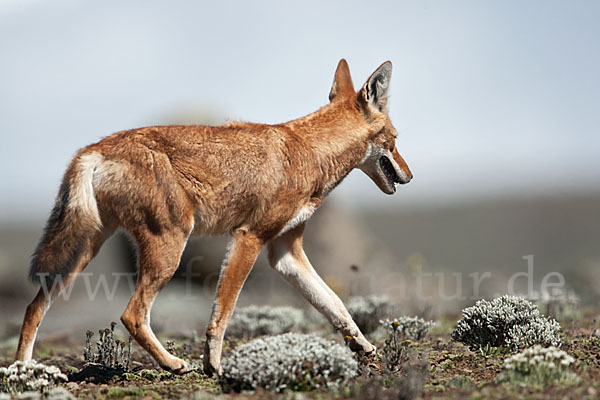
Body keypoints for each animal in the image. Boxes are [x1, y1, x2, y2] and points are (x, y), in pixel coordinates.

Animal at [17, 59, 412, 376]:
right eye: (394, 140)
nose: (409, 176)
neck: (308, 151)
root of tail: (93, 149)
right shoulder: (249, 237)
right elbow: (223, 313)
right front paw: (214, 366)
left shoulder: (286, 253)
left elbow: (337, 306)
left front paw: (363, 348)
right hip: (168, 251)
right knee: (131, 315)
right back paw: (173, 364)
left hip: (82, 254)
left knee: (34, 306)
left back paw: (22, 372)